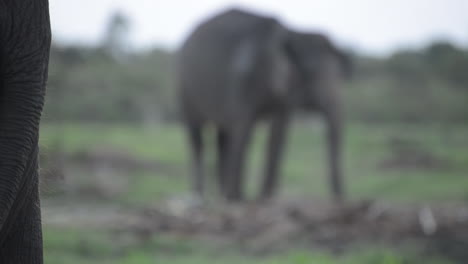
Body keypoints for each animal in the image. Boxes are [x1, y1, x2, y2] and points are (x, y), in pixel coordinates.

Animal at [177, 7, 350, 202]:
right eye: (311, 72)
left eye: (341, 73)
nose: (339, 198)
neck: (292, 33)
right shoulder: (243, 78)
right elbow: (245, 132)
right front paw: (238, 198)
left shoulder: (284, 95)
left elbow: (277, 136)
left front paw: (263, 198)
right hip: (184, 86)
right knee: (197, 138)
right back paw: (201, 196)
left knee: (224, 139)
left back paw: (222, 195)